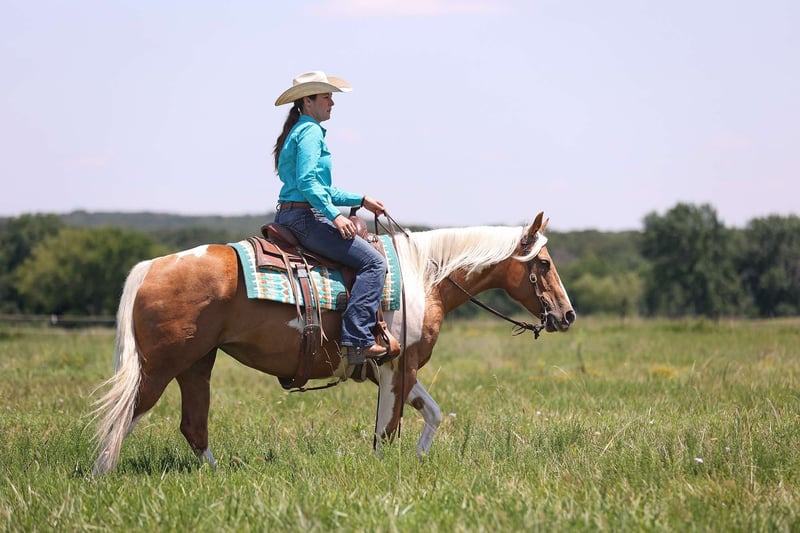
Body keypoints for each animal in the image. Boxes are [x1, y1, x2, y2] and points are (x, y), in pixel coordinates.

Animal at [91, 211, 575, 474]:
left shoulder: (396, 369)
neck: (423, 277)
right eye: (543, 263)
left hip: (197, 365)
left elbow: (432, 415)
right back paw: (101, 476)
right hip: (160, 368)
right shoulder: (397, 368)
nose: (567, 315)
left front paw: (419, 459)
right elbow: (388, 430)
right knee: (123, 419)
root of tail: (152, 266)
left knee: (193, 427)